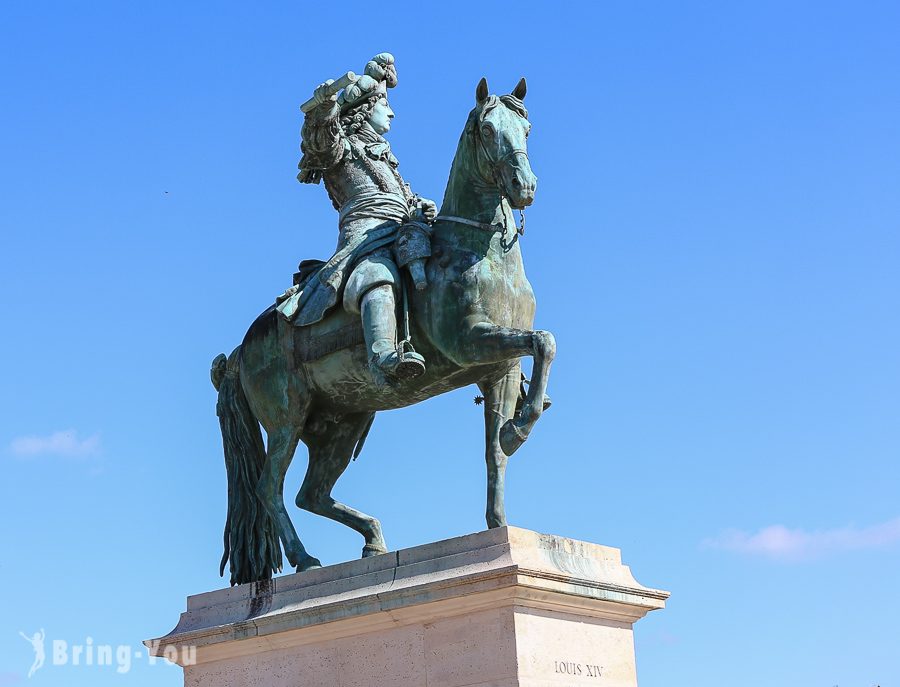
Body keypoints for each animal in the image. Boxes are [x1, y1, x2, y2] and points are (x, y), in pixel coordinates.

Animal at [214, 79, 556, 584]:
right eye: (488, 129)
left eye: (527, 128)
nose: (524, 186)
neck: (477, 251)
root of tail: (241, 349)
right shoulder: (471, 343)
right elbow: (545, 341)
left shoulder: (502, 369)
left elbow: (496, 448)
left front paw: (499, 516)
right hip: (286, 420)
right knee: (268, 488)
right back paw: (305, 558)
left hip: (342, 423)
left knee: (310, 494)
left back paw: (372, 539)